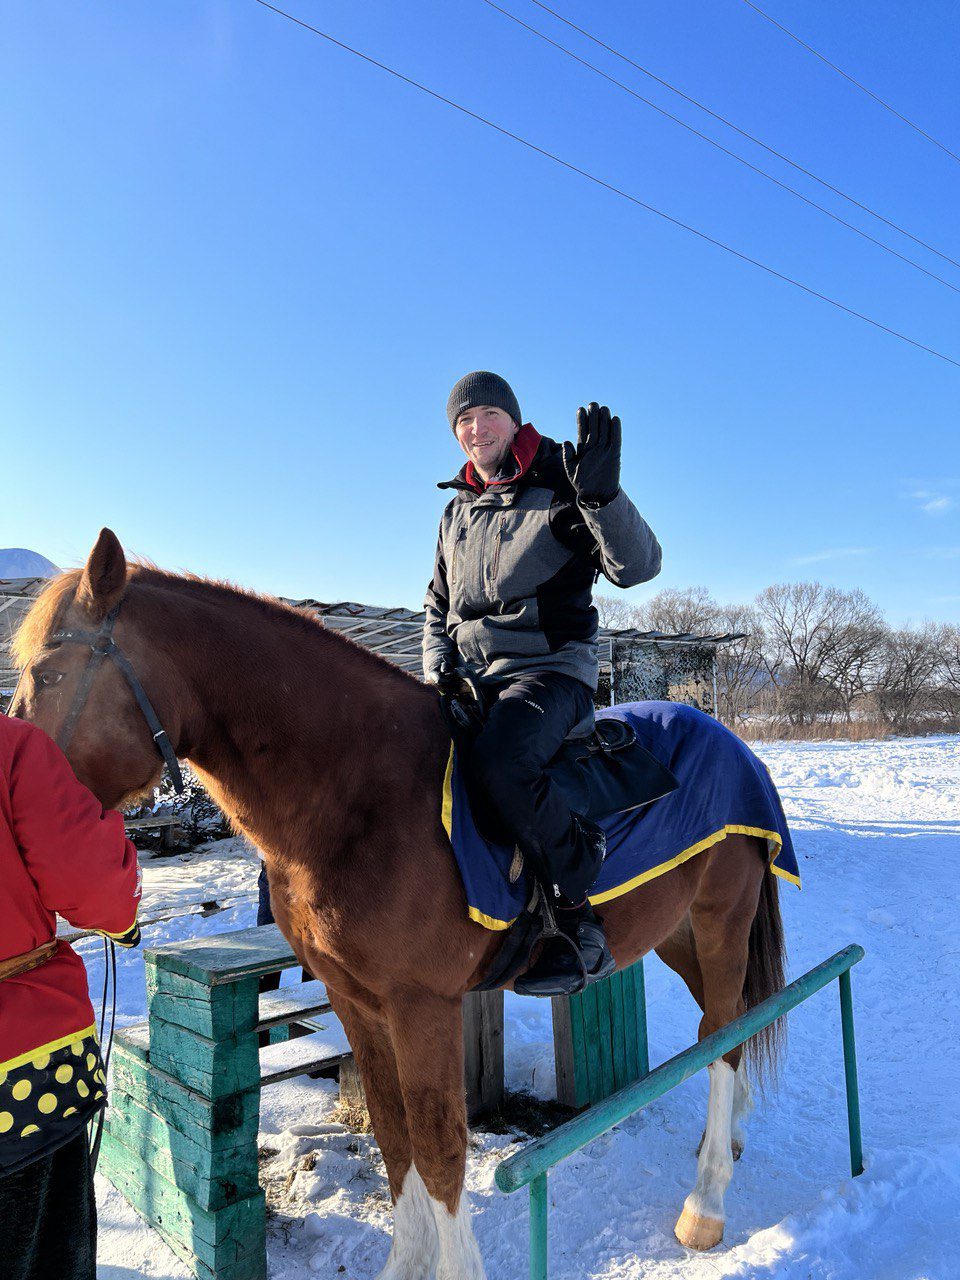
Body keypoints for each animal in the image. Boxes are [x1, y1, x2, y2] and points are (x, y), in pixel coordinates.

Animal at [11, 528, 787, 1278]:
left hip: (720, 919)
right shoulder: (356, 1002)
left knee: (724, 1035)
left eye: (48, 674)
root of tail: (730, 740)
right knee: (726, 1024)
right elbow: (393, 1137)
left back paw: (705, 1203)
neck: (360, 793)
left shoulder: (422, 1006)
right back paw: (729, 1141)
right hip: (677, 932)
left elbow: (440, 1150)